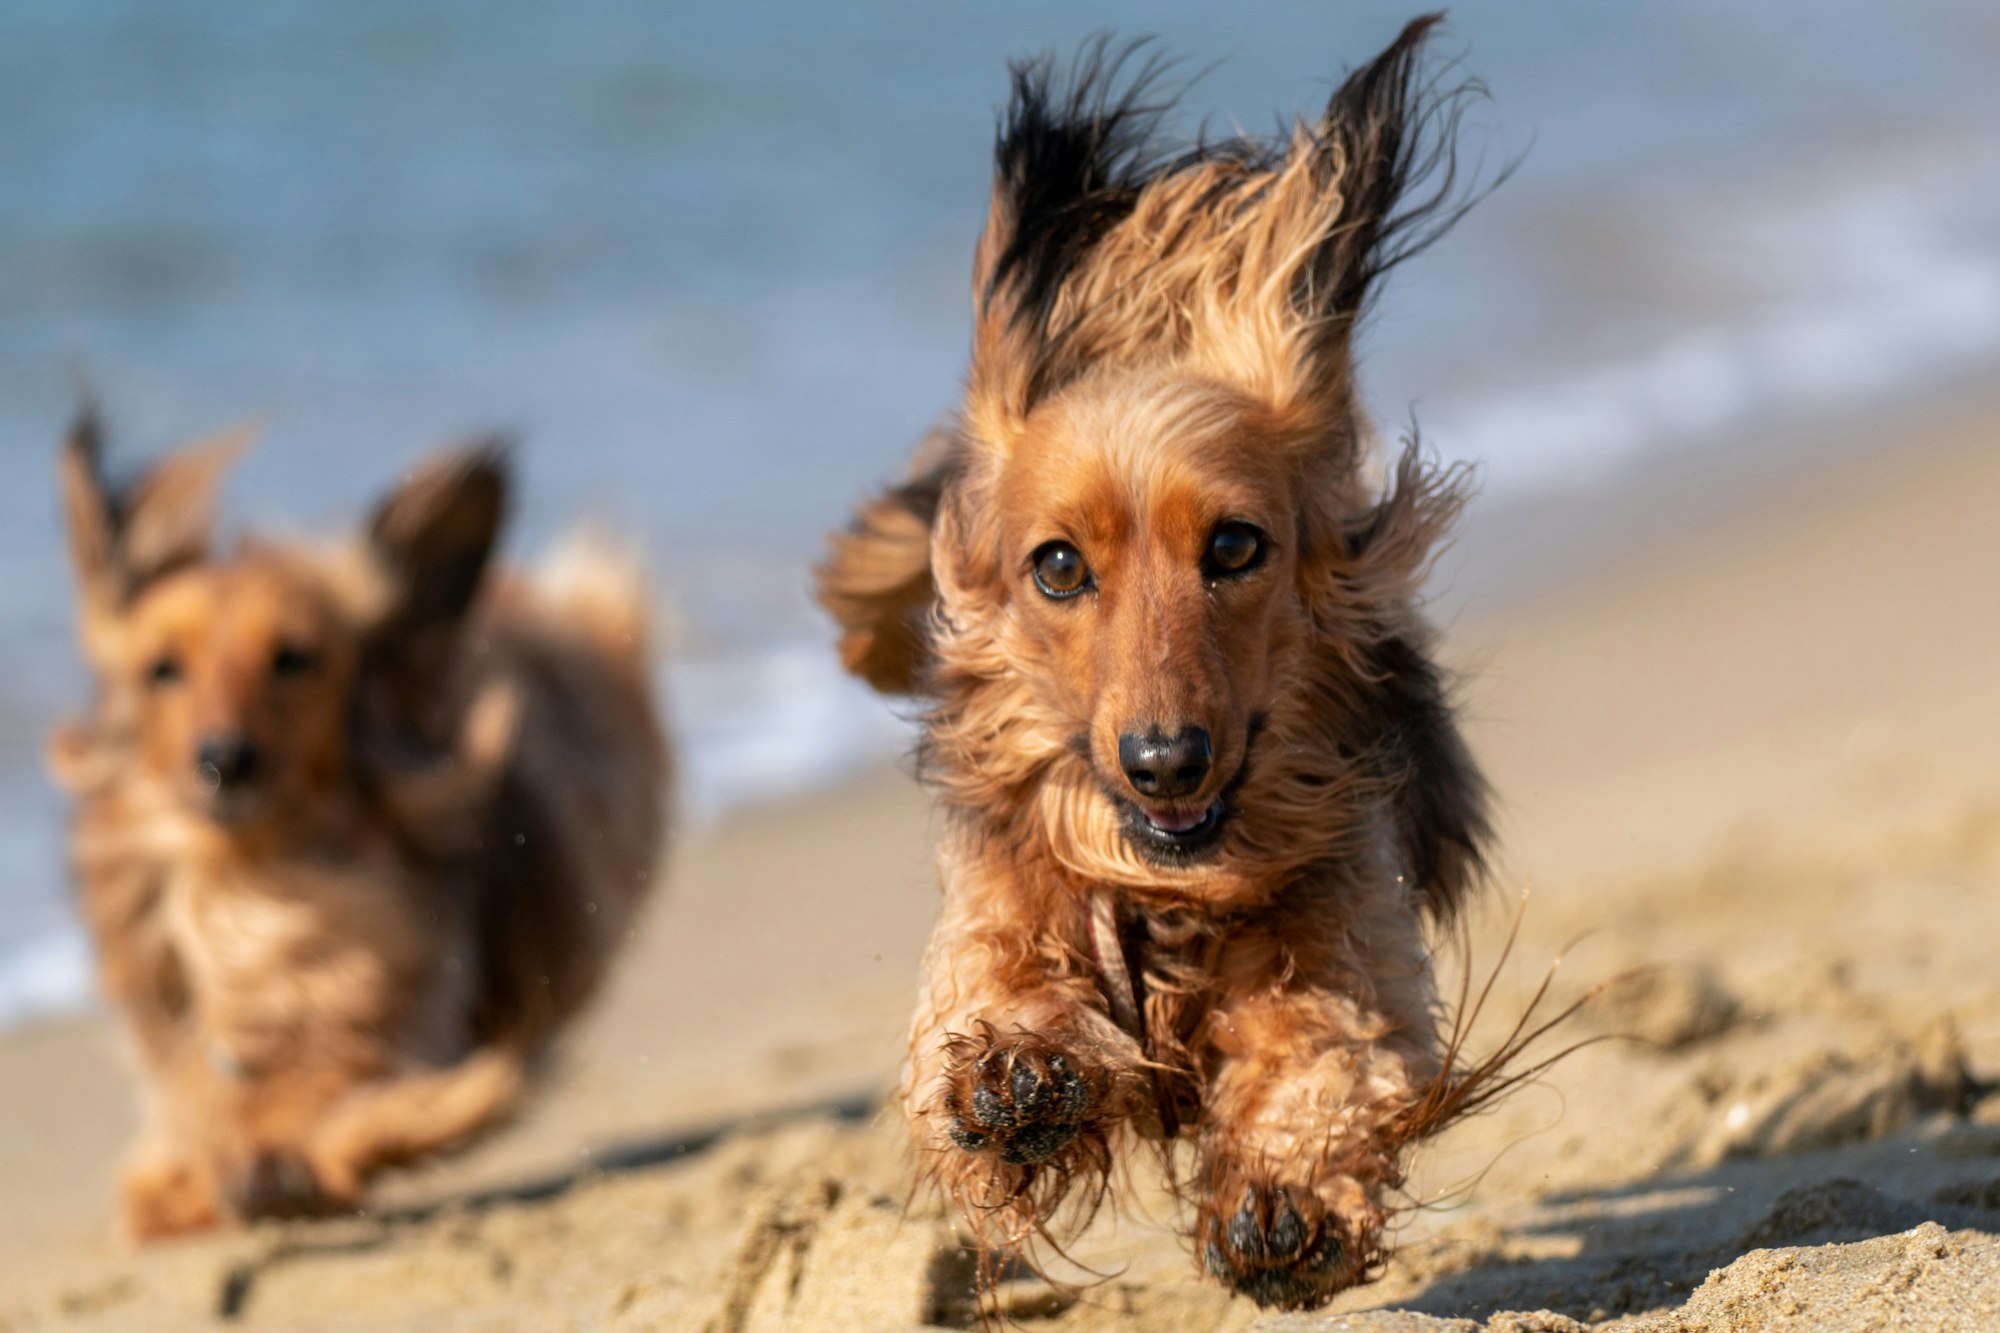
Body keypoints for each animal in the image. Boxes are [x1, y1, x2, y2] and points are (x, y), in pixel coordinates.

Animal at [47, 404, 668, 1232]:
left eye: (294, 658)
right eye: (162, 669)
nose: (223, 760)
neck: (251, 887)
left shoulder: (393, 1020)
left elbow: (350, 1093)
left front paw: (288, 1161)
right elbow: (194, 1121)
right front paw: (192, 1177)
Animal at [816, 18, 1504, 1304]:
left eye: (1233, 546)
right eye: (1055, 567)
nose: (1163, 762)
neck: (1171, 890)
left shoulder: (1352, 935)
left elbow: (1323, 1056)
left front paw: (1286, 1198)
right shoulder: (992, 909)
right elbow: (983, 1004)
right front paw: (1014, 1073)